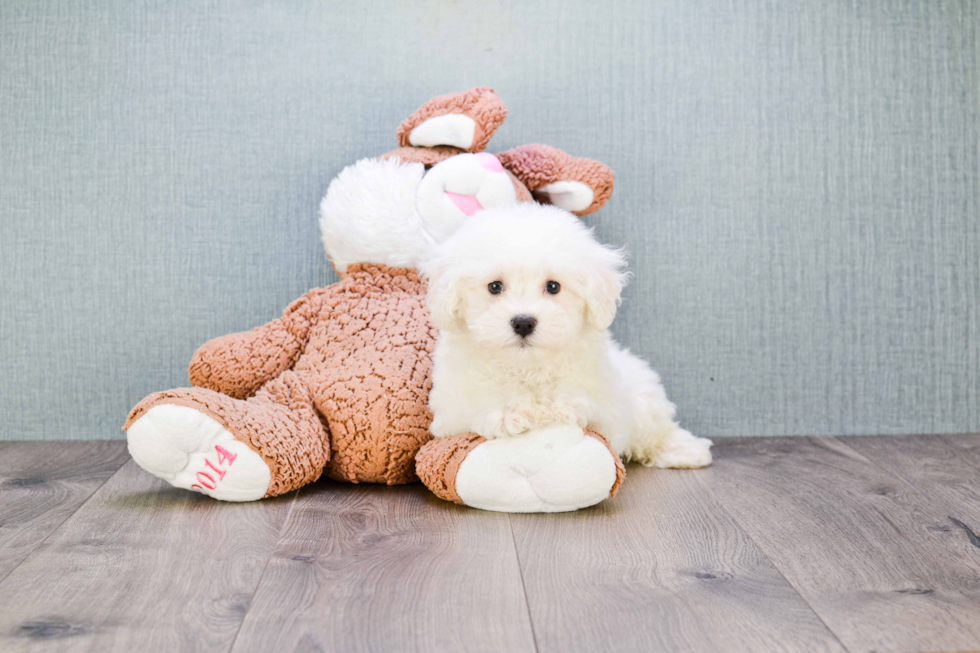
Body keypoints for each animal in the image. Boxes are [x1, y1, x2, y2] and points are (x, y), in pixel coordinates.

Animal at [422, 204, 712, 468]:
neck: (527, 368)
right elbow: (479, 402)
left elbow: (582, 401)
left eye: (553, 286)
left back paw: (687, 451)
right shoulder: (450, 411)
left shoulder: (607, 407)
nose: (523, 322)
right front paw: (511, 412)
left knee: (656, 430)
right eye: (494, 286)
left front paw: (559, 407)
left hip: (644, 398)